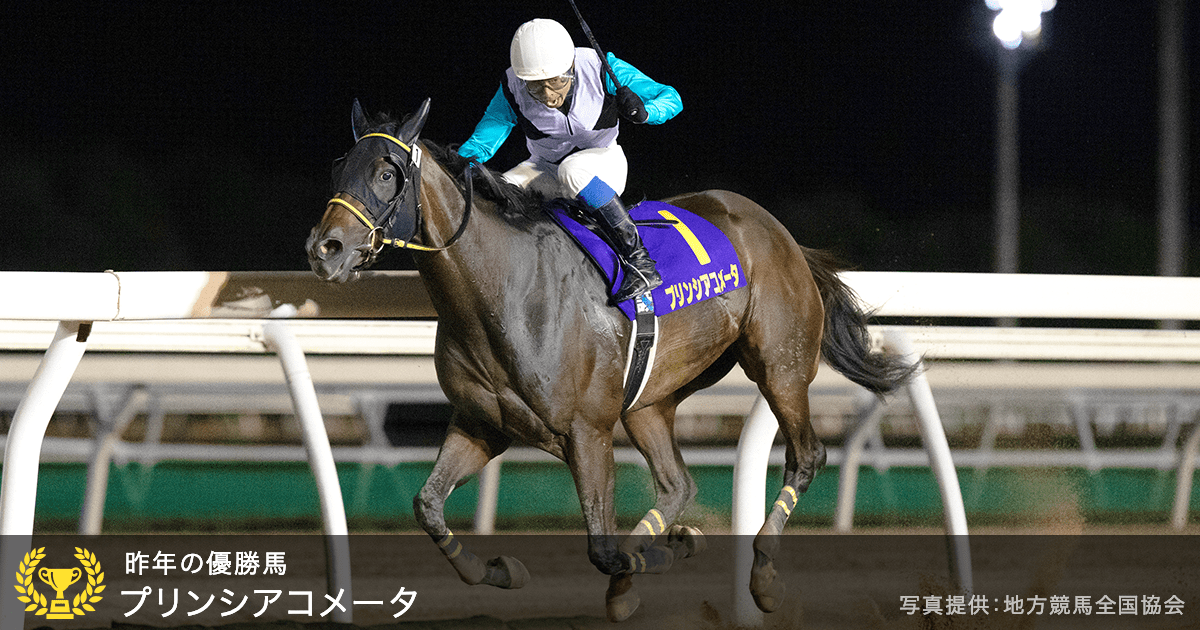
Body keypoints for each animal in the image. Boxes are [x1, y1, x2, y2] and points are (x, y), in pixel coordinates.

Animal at [306, 99, 914, 621]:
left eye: (387, 173)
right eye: (339, 167)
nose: (324, 249)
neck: (501, 292)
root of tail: (779, 232)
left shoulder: (587, 432)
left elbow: (602, 548)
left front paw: (674, 550)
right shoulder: (483, 424)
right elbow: (426, 505)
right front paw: (504, 570)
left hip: (779, 365)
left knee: (806, 455)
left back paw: (762, 577)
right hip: (649, 400)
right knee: (677, 483)